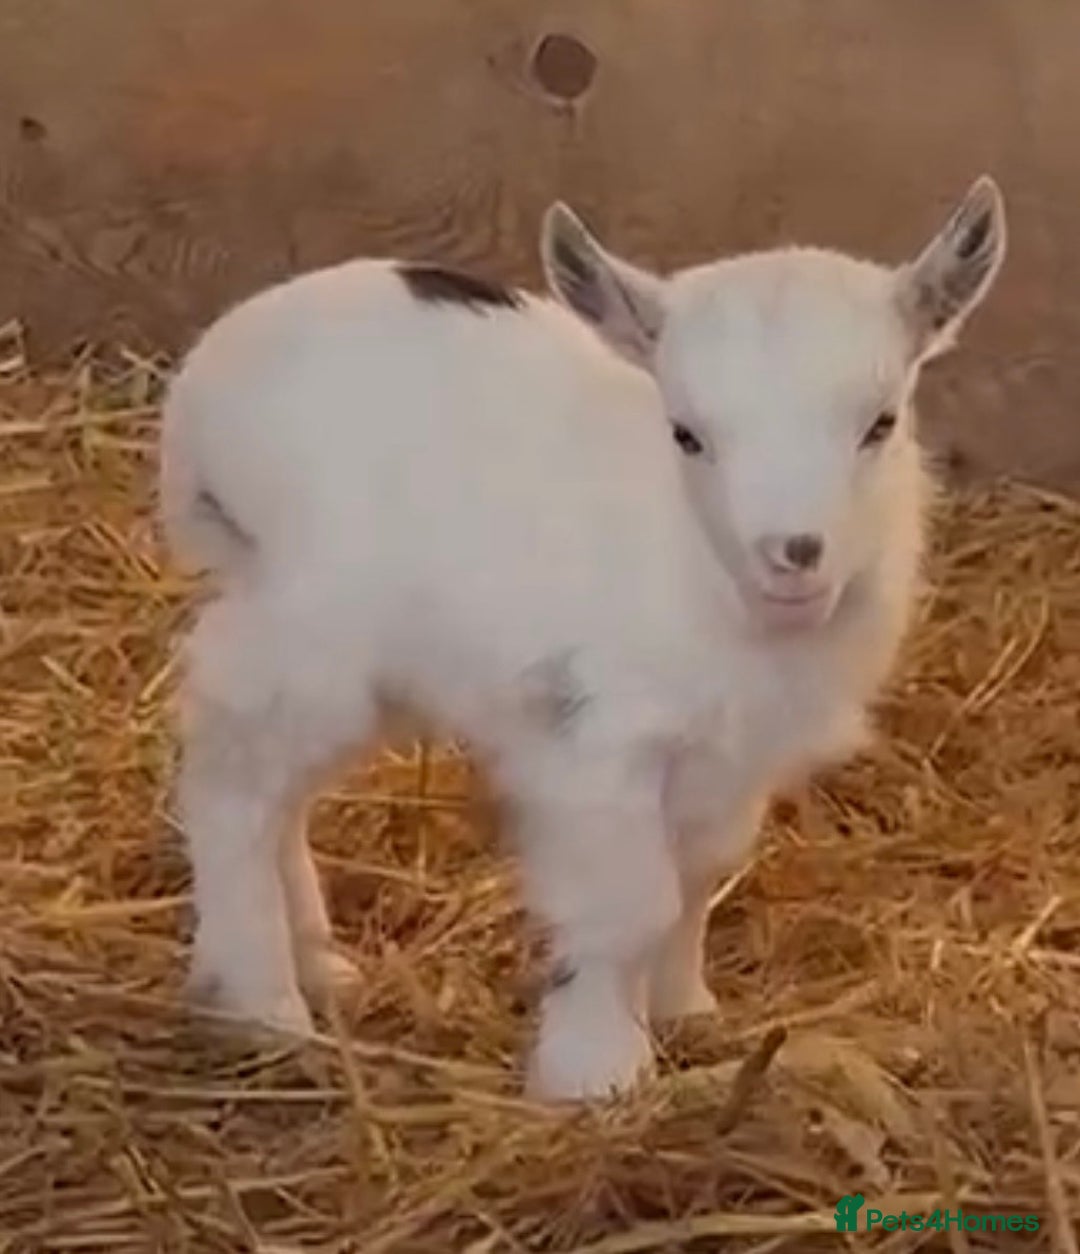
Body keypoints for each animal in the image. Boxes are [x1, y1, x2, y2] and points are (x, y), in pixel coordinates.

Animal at [159, 177, 1006, 1101]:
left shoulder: (729, 756)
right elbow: (629, 904)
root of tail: (202, 391)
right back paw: (263, 1004)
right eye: (687, 434)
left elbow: (699, 875)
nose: (792, 554)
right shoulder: (598, 736)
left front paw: (683, 1009)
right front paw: (597, 1069)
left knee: (280, 791)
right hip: (305, 630)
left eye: (880, 423)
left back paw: (320, 966)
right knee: (232, 783)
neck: (706, 582)